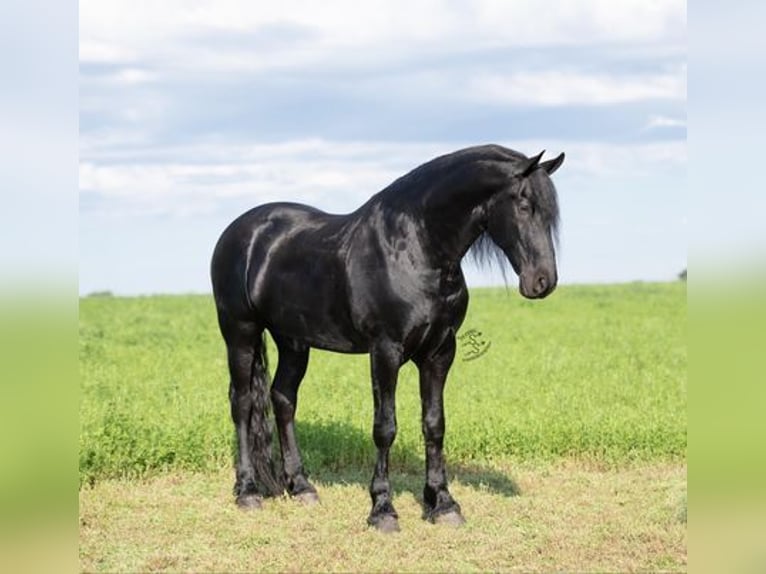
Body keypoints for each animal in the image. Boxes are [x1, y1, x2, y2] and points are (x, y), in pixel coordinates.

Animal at [210, 145, 564, 536]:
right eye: (524, 205)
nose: (543, 281)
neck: (415, 250)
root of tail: (241, 231)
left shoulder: (440, 352)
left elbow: (435, 424)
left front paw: (443, 503)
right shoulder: (385, 351)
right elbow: (385, 427)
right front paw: (383, 510)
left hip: (293, 341)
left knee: (283, 399)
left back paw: (301, 487)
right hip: (240, 332)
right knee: (243, 403)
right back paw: (248, 491)